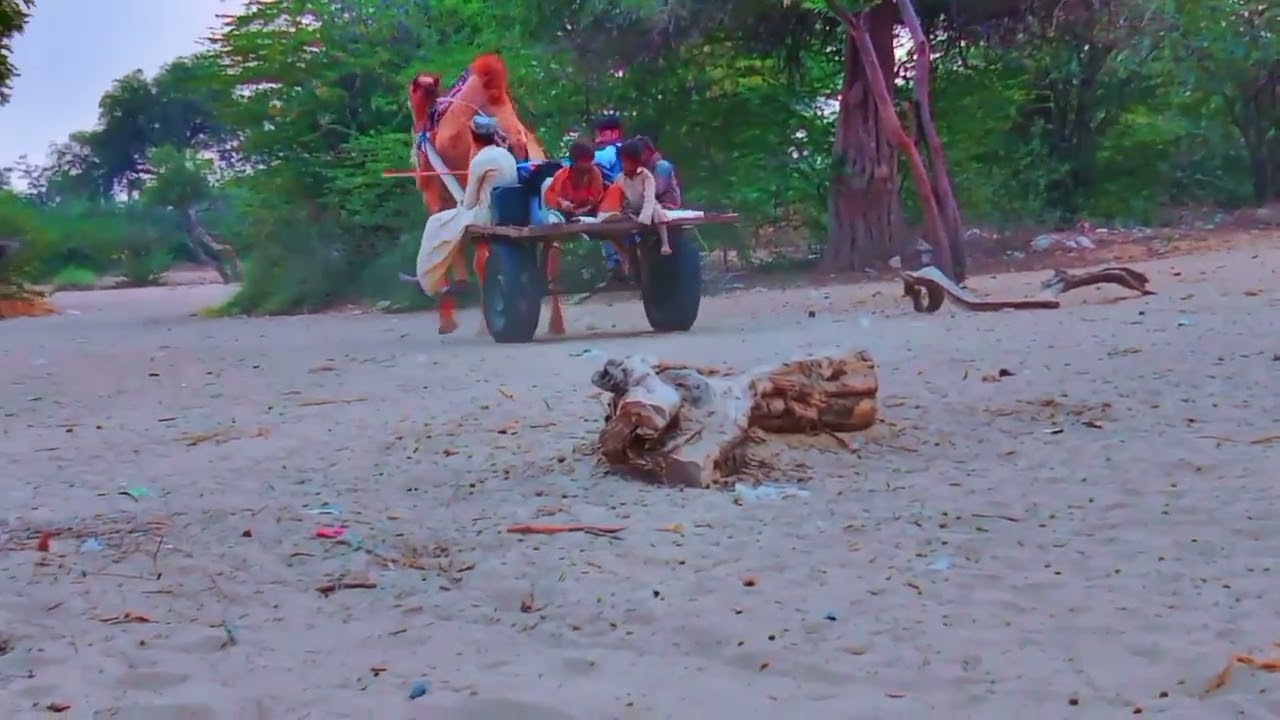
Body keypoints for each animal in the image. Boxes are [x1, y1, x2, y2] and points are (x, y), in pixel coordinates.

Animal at [407, 53, 565, 336]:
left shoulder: (436, 195)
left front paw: (447, 322)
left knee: (488, 257)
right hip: (544, 185)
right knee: (552, 252)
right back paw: (555, 326)